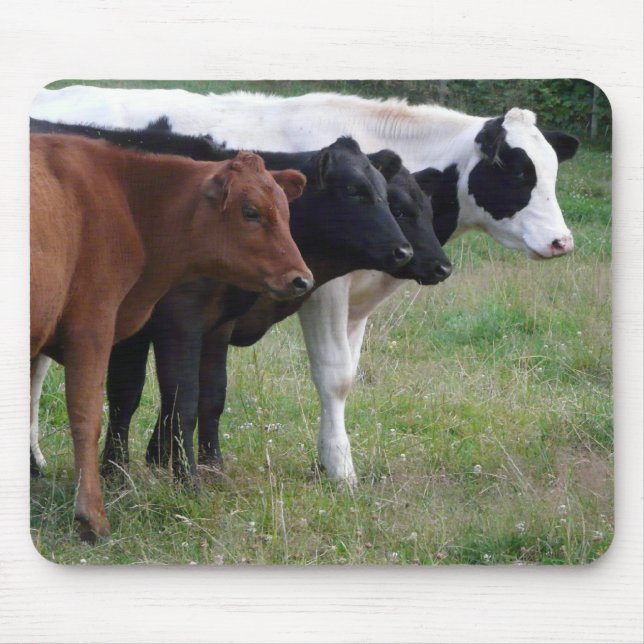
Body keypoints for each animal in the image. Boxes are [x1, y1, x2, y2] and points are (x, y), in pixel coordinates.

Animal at [30, 87, 579, 484]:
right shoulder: (321, 291)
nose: (562, 242)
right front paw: (341, 471)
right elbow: (334, 376)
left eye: (553, 173)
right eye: (518, 171)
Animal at [31, 133, 311, 539]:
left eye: (288, 214)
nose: (302, 278)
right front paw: (92, 515)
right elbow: (87, 415)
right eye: (251, 211)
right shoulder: (92, 328)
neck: (129, 200)